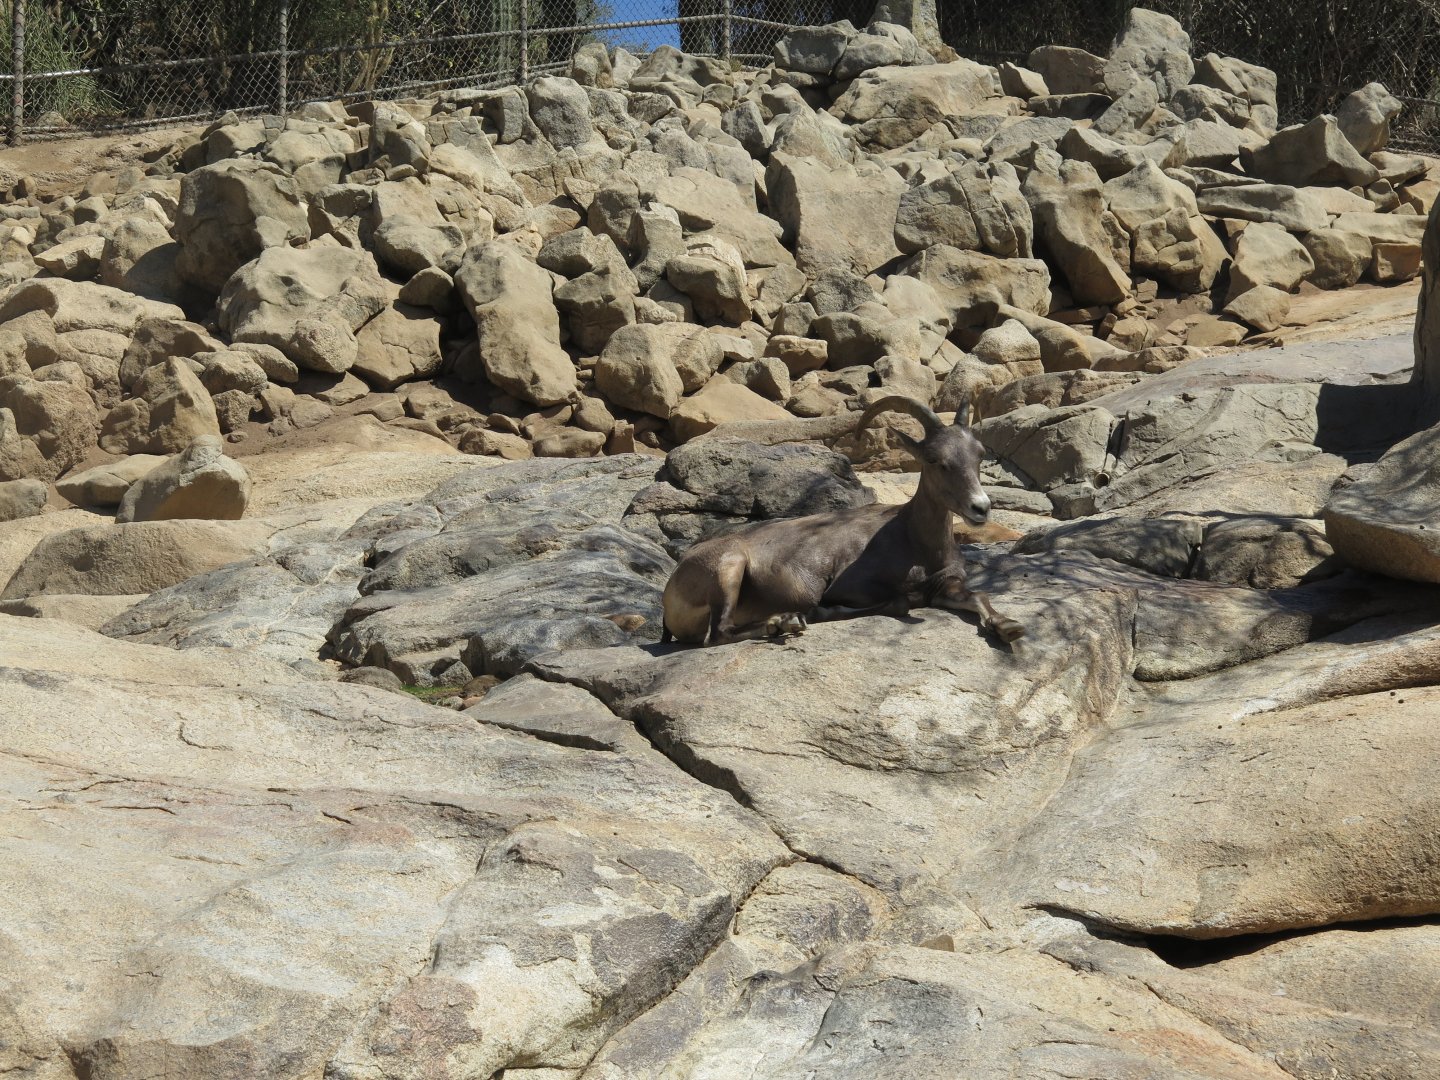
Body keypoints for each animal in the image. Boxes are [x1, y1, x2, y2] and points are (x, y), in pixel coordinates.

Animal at [659, 395, 1025, 647]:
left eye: (979, 454)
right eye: (935, 459)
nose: (980, 508)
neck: (914, 540)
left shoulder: (944, 587)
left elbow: (979, 597)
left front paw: (1009, 627)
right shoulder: (852, 587)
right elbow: (900, 602)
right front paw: (820, 612)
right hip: (729, 567)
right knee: (718, 633)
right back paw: (786, 622)